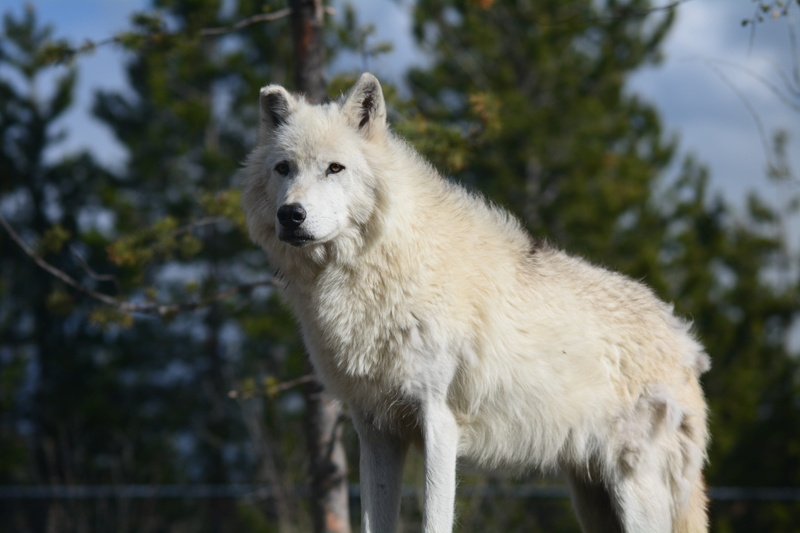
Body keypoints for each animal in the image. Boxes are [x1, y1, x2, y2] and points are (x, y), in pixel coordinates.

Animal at [241, 73, 710, 533]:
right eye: (284, 168)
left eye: (334, 168)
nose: (291, 215)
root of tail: (685, 340)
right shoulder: (375, 429)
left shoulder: (439, 422)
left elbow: (434, 521)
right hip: (592, 499)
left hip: (634, 490)